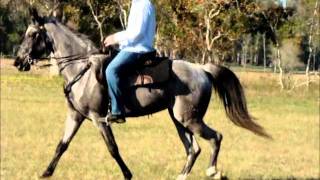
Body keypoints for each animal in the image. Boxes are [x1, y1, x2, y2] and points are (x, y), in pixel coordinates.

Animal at [14, 7, 270, 179]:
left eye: (33, 34)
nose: (18, 62)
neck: (81, 69)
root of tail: (202, 69)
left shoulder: (99, 119)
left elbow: (113, 148)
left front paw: (128, 174)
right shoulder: (75, 116)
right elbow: (62, 145)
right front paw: (45, 173)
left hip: (190, 119)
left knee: (215, 137)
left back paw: (212, 171)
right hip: (178, 120)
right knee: (193, 149)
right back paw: (181, 175)